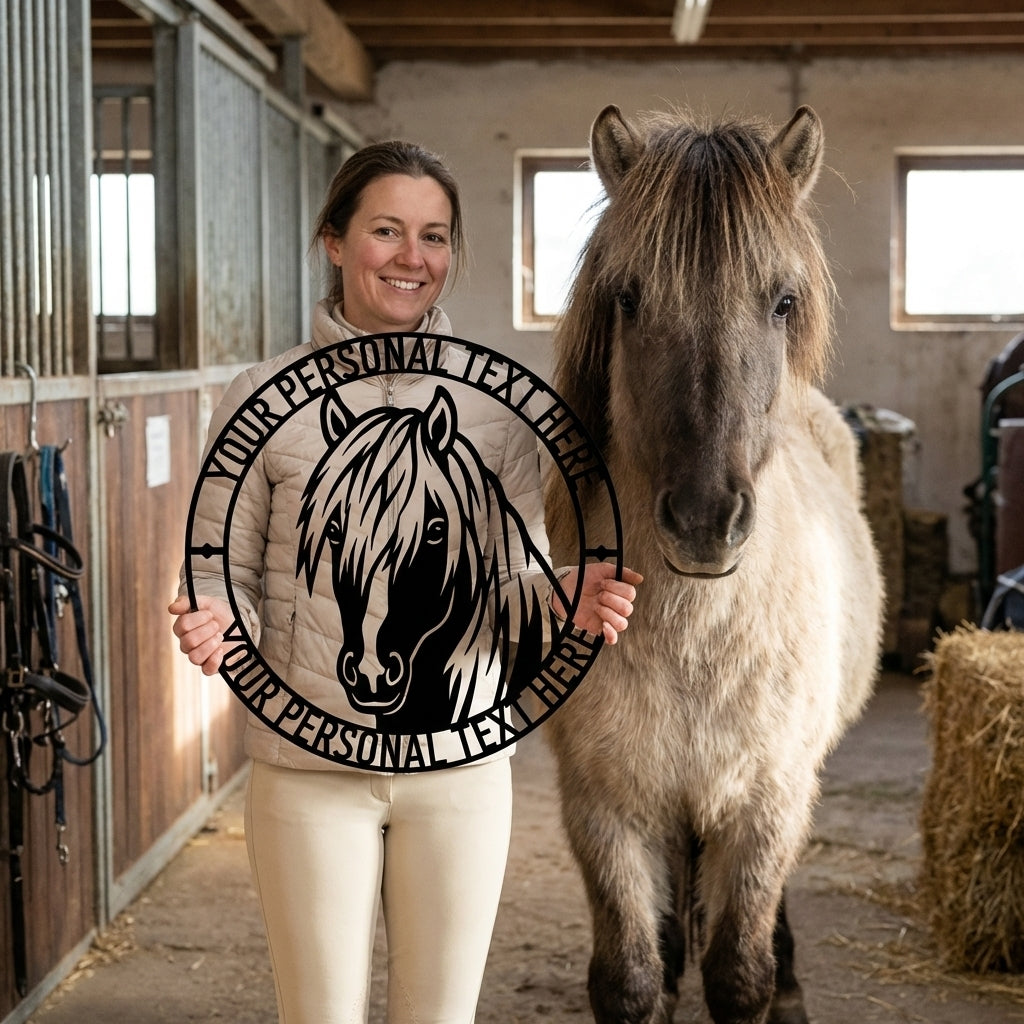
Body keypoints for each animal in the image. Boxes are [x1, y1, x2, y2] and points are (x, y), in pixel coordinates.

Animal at [543, 104, 884, 1024]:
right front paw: (657, 974)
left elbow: (740, 972)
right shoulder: (604, 804)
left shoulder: (769, 803)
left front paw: (771, 985)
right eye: (629, 297)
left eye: (783, 301)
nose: (704, 522)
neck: (698, 642)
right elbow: (629, 976)